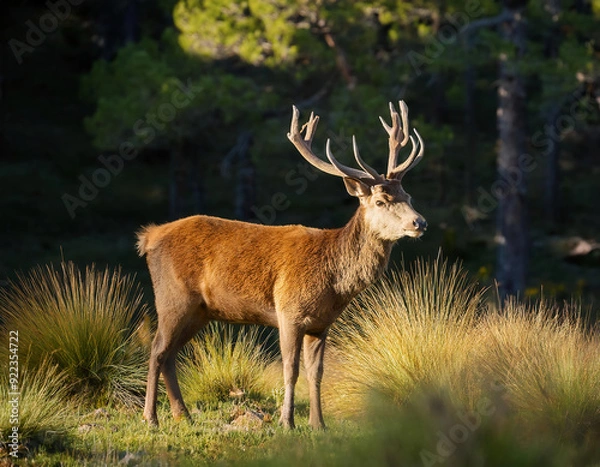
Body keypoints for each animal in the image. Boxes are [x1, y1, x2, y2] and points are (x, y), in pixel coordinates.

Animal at [136, 100, 426, 430]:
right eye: (380, 202)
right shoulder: (289, 311)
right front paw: (287, 421)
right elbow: (291, 369)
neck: (334, 282)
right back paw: (150, 417)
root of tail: (148, 237)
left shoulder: (321, 324)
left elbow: (317, 373)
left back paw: (182, 414)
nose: (419, 222)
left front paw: (318, 424)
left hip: (200, 311)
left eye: (407, 195)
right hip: (173, 298)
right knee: (157, 350)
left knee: (170, 354)